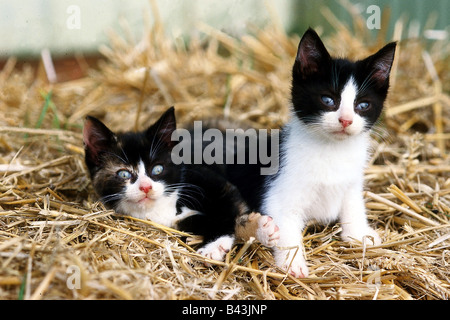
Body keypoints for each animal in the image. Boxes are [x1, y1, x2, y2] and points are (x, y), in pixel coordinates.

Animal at [82, 106, 276, 262]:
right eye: (124, 173)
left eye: (158, 169)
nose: (146, 187)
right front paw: (256, 228)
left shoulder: (210, 180)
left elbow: (226, 209)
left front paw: (213, 246)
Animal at [227, 28, 396, 278]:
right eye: (328, 100)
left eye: (363, 105)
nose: (346, 120)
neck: (332, 150)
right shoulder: (280, 192)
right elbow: (286, 225)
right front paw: (292, 263)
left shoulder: (352, 179)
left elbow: (353, 203)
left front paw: (359, 232)